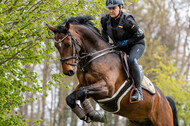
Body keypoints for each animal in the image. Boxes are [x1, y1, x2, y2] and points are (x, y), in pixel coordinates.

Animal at [46, 16, 179, 126]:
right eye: (56, 46)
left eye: (68, 44)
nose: (67, 71)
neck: (94, 57)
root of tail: (165, 99)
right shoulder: (83, 84)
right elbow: (71, 98)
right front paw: (90, 115)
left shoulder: (107, 88)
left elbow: (81, 93)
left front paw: (94, 114)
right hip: (137, 122)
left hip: (163, 121)